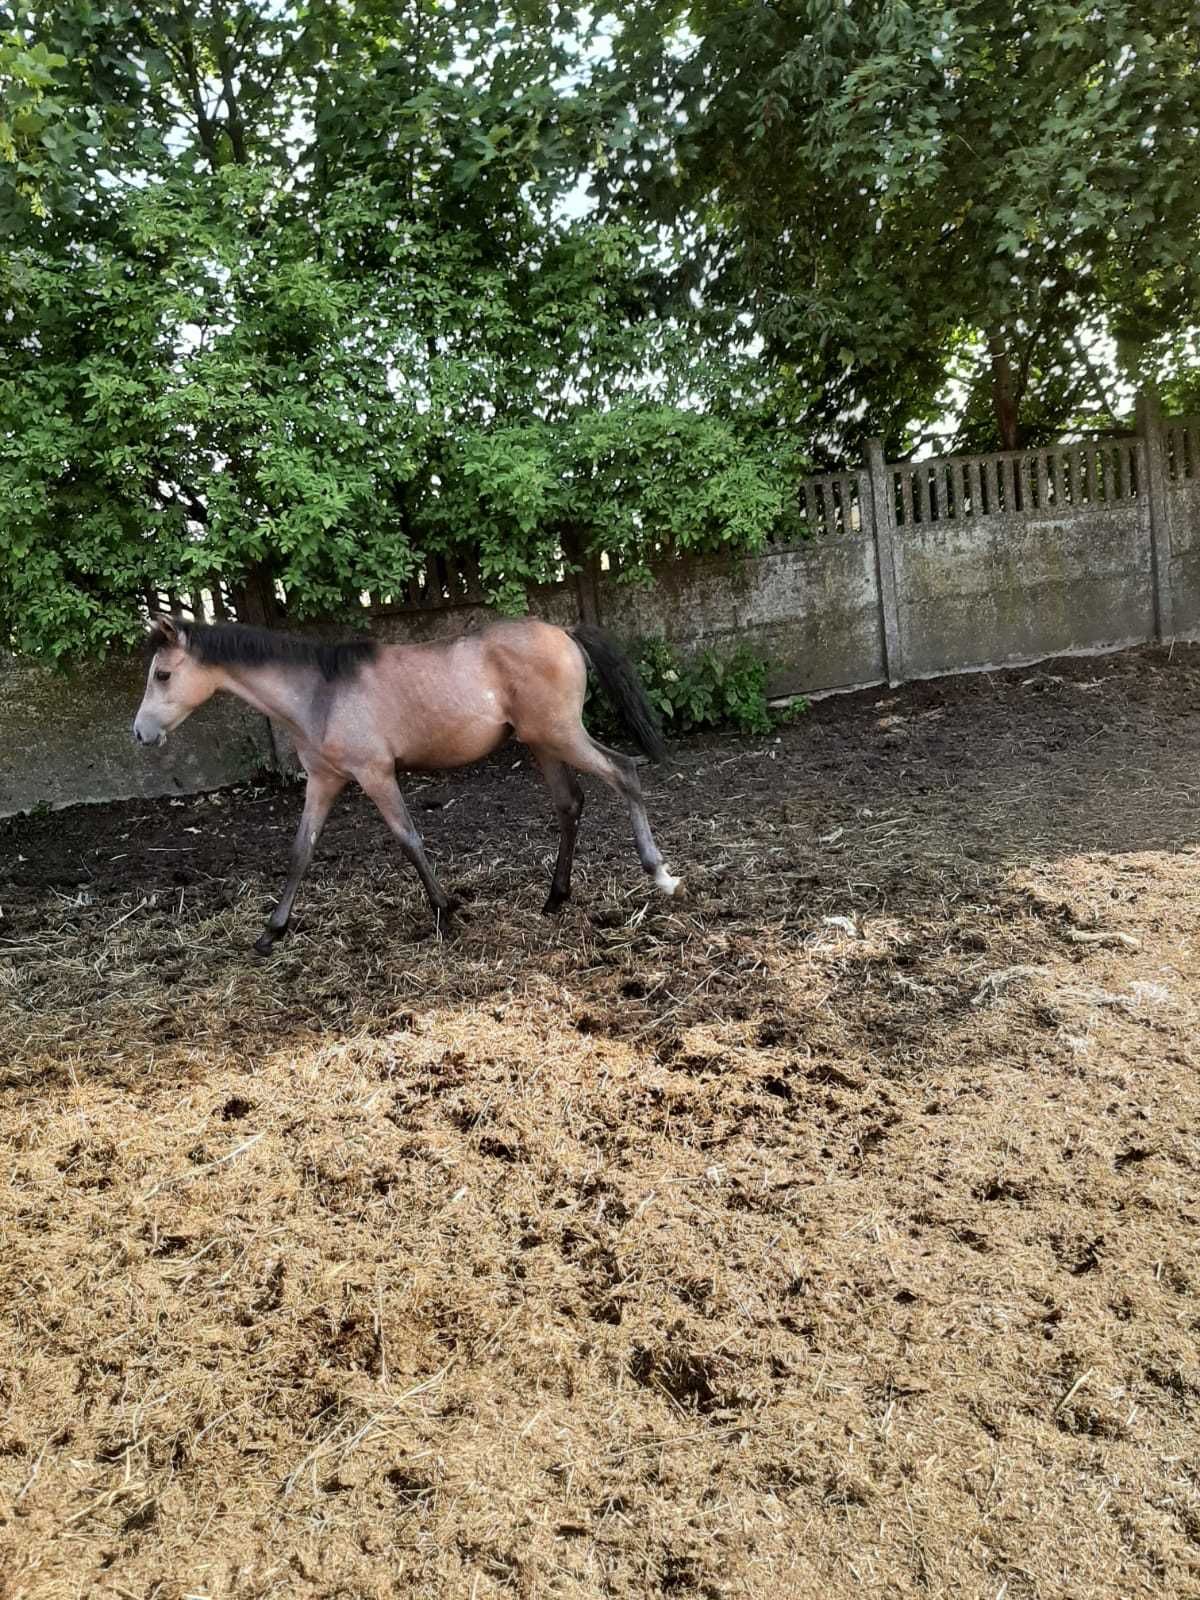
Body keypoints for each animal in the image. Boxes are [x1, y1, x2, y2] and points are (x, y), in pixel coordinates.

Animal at [135, 614, 681, 947]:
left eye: (162, 674)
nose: (140, 734)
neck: (320, 694)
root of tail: (564, 632)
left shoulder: (374, 773)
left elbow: (408, 837)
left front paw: (446, 910)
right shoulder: (323, 781)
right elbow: (300, 851)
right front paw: (271, 933)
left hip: (562, 735)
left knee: (624, 772)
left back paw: (659, 873)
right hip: (543, 742)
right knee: (569, 804)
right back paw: (555, 898)